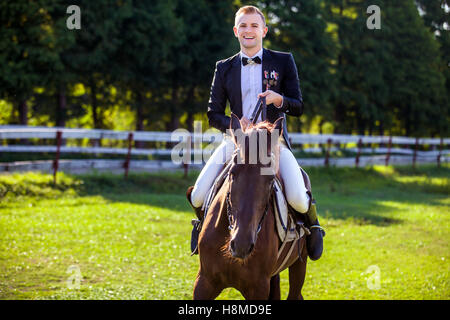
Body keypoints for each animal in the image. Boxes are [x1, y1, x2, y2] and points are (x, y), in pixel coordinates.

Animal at [192, 114, 308, 300]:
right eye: (232, 172)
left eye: (270, 179)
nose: (241, 245)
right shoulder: (204, 282)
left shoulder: (258, 288)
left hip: (299, 263)